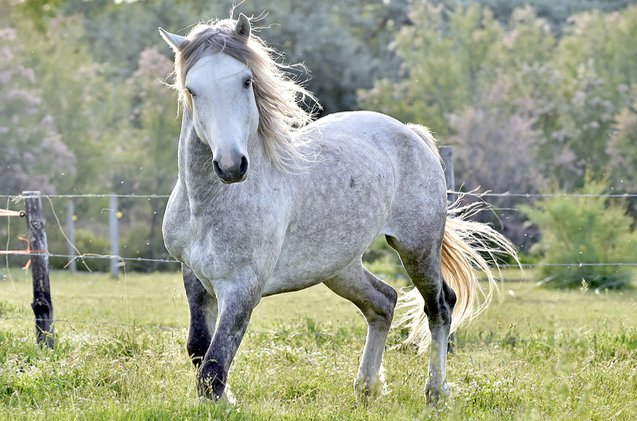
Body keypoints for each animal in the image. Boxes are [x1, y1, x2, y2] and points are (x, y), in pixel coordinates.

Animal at [158, 14, 512, 406]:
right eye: (192, 90)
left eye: (246, 81)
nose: (231, 165)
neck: (208, 206)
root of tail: (410, 133)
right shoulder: (194, 277)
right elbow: (200, 349)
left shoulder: (242, 287)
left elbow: (214, 366)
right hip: (340, 266)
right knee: (383, 302)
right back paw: (367, 387)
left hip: (417, 247)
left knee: (440, 306)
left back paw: (435, 392)